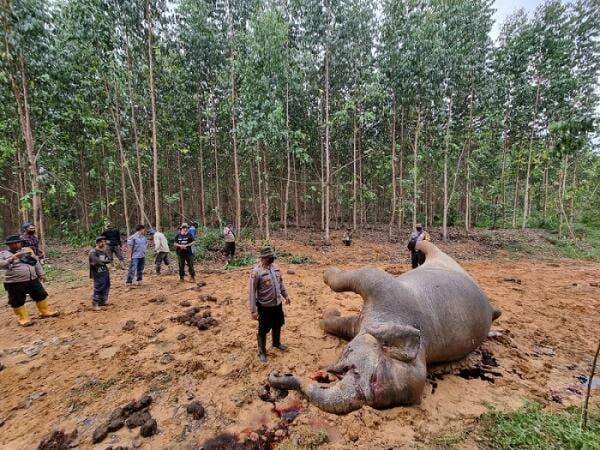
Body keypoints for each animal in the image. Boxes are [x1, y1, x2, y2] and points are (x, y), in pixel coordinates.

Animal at [270, 243, 500, 414]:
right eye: (371, 376)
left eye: (372, 388)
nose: (279, 374)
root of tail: (492, 309)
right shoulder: (385, 292)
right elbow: (359, 276)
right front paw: (328, 283)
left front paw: (330, 311)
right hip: (444, 261)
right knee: (431, 248)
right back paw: (417, 244)